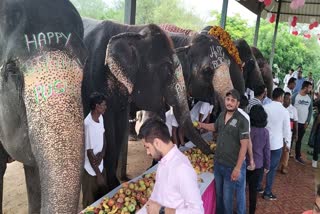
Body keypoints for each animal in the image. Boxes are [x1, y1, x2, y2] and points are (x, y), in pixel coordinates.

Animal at [82, 20, 212, 191]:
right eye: (166, 70)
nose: (212, 151)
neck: (132, 30)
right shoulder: (96, 79)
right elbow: (108, 128)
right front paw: (112, 187)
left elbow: (120, 126)